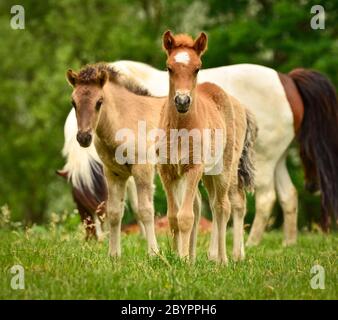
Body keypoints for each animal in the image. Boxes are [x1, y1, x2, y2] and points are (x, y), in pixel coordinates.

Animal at [66, 63, 164, 256]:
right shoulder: (113, 172)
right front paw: (114, 255)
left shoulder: (143, 169)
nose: (83, 138)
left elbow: (145, 210)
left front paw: (154, 254)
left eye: (99, 102)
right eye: (73, 102)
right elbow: (114, 212)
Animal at [158, 31, 256, 264]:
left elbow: (186, 216)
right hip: (209, 173)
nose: (182, 101)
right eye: (169, 68)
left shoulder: (193, 168)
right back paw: (208, 257)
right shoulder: (167, 171)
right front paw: (176, 257)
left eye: (197, 68)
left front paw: (183, 260)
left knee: (223, 206)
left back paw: (224, 259)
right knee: (211, 204)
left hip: (225, 169)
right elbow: (173, 217)